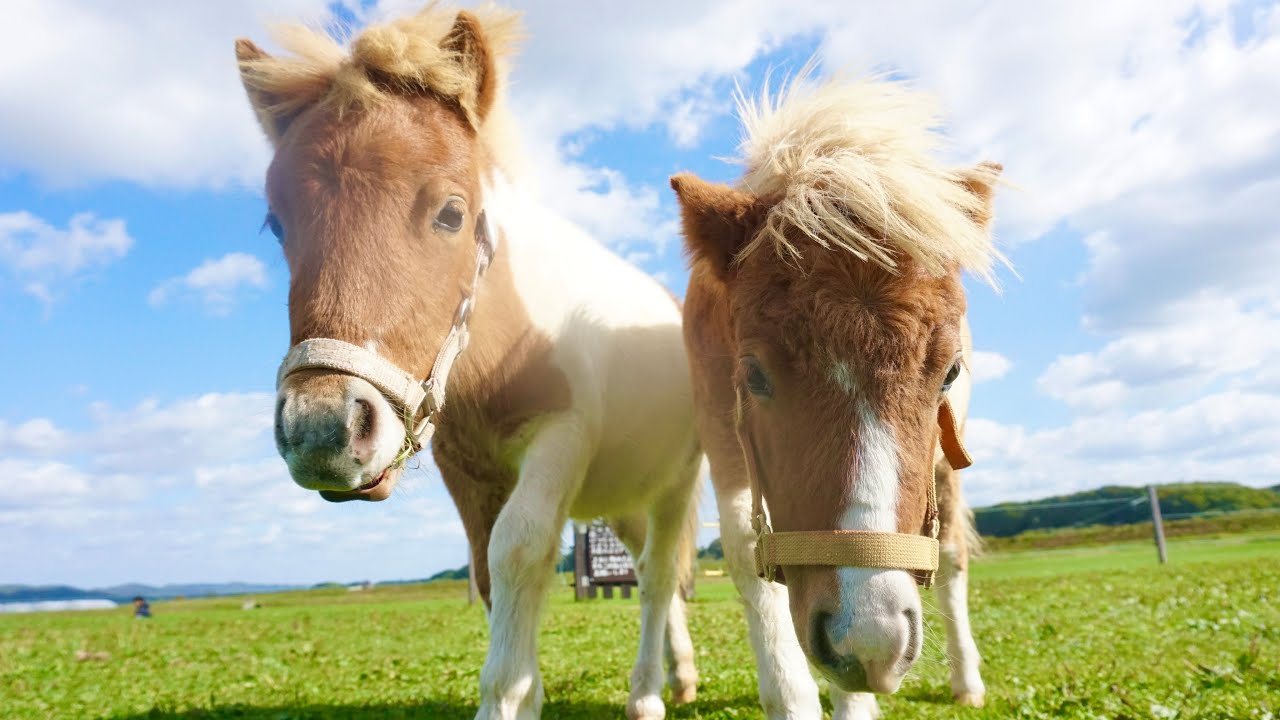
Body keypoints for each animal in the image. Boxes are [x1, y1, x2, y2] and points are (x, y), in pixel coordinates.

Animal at [234, 6, 701, 719]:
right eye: (277, 224)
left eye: (452, 214)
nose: (321, 432)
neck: (500, 348)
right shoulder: (465, 470)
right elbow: (485, 571)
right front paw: (529, 691)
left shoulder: (558, 440)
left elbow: (518, 551)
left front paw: (508, 693)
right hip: (624, 494)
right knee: (656, 570)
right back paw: (678, 674)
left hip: (675, 482)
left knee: (657, 575)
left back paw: (648, 692)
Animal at [672, 73, 1001, 719]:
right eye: (753, 374)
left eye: (950, 372)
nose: (871, 638)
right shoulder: (723, 441)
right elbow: (749, 555)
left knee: (951, 556)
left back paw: (967, 678)